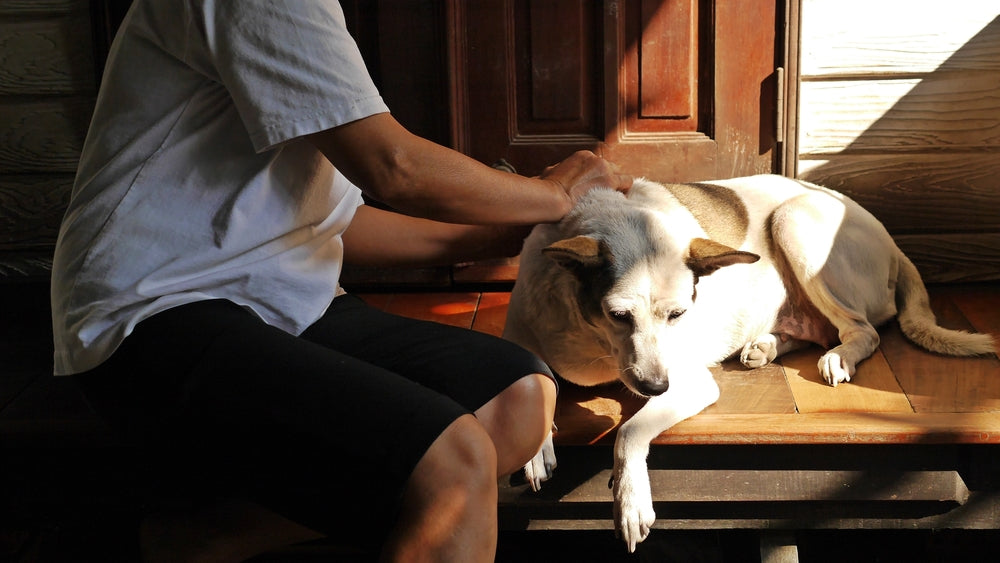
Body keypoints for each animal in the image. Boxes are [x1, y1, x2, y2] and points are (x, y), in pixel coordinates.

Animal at [504, 175, 996, 552]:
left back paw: (838, 356)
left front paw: (630, 499)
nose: (657, 388)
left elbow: (628, 433)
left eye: (679, 313)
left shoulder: (691, 384)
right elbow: (527, 376)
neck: (591, 343)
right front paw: (535, 445)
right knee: (818, 329)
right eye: (619, 315)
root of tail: (894, 244)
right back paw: (767, 346)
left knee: (862, 330)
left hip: (793, 221)